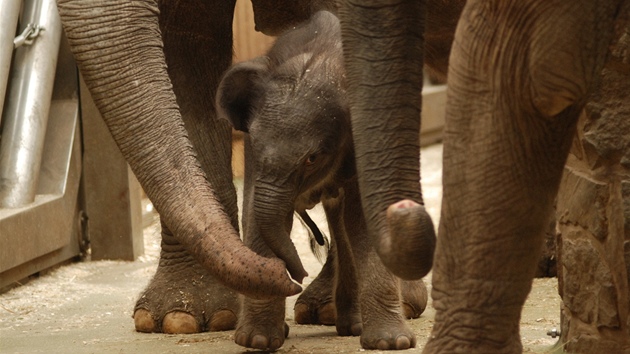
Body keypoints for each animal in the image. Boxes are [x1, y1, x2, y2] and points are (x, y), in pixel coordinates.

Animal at [217, 11, 430, 352]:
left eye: (312, 158)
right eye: (257, 143)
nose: (298, 275)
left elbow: (362, 219)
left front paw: (390, 343)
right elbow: (255, 211)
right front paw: (256, 340)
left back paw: (352, 326)